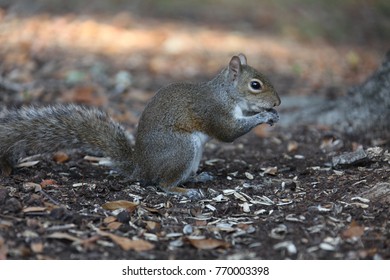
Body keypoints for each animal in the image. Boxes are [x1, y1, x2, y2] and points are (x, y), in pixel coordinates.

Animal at [0, 54, 280, 199]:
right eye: (255, 85)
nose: (278, 102)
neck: (227, 94)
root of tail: (141, 168)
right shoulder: (213, 111)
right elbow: (228, 133)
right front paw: (263, 116)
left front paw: (271, 113)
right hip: (181, 148)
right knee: (162, 183)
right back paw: (182, 190)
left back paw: (198, 177)